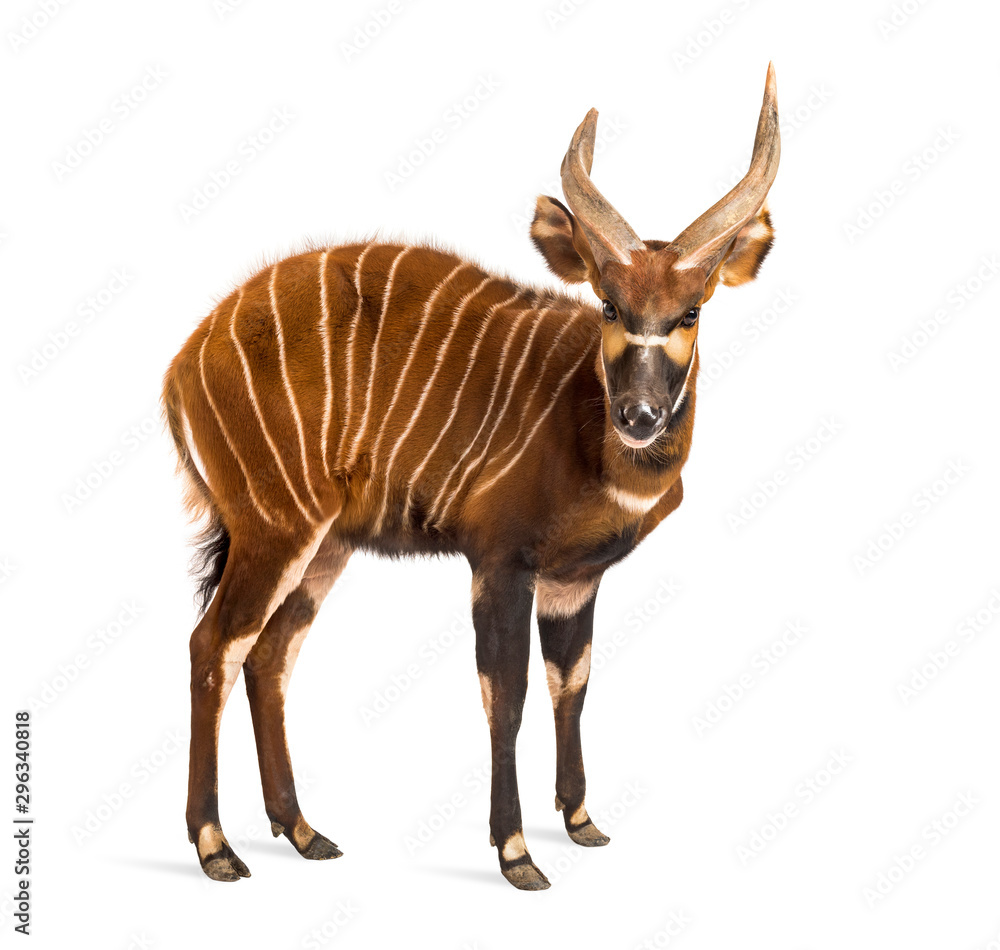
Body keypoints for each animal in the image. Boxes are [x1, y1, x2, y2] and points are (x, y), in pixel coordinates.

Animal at [163, 65, 780, 890]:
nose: (641, 415)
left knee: (269, 653)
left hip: (324, 544)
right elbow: (505, 695)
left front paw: (581, 822)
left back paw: (301, 831)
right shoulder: (499, 559)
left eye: (690, 311)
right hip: (274, 523)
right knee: (214, 644)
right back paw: (216, 847)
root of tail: (181, 364)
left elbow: (571, 683)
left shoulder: (573, 578)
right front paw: (516, 852)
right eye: (609, 302)